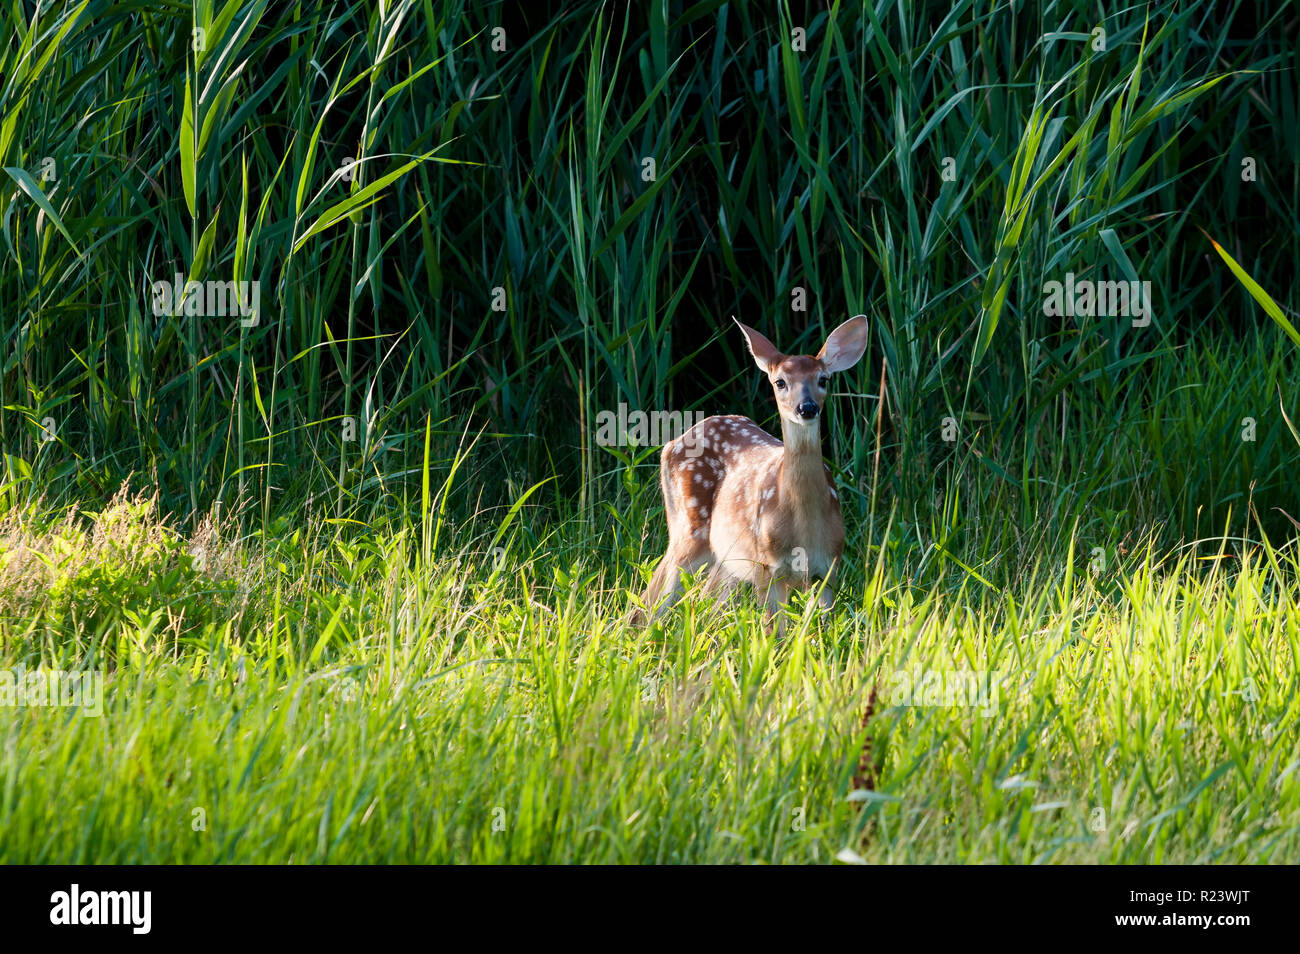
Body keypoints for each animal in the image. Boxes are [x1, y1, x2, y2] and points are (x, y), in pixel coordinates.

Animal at [634, 315, 868, 632]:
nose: (807, 407)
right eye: (780, 382)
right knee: (653, 598)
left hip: (727, 557)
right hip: (690, 529)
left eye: (823, 379)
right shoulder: (767, 567)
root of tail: (671, 444)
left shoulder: (828, 569)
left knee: (705, 601)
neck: (804, 525)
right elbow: (774, 632)